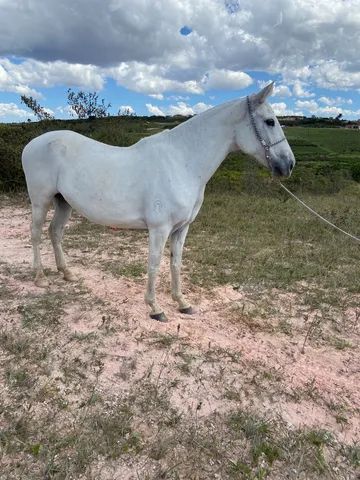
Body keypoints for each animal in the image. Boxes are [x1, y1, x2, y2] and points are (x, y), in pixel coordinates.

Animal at [21, 82, 294, 322]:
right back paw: (40, 277)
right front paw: (155, 308)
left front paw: (182, 303)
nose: (288, 165)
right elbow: (154, 264)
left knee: (55, 232)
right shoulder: (159, 229)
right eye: (270, 121)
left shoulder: (182, 228)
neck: (182, 161)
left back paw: (66, 273)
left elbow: (175, 263)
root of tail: (31, 144)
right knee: (36, 234)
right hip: (41, 201)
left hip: (63, 202)